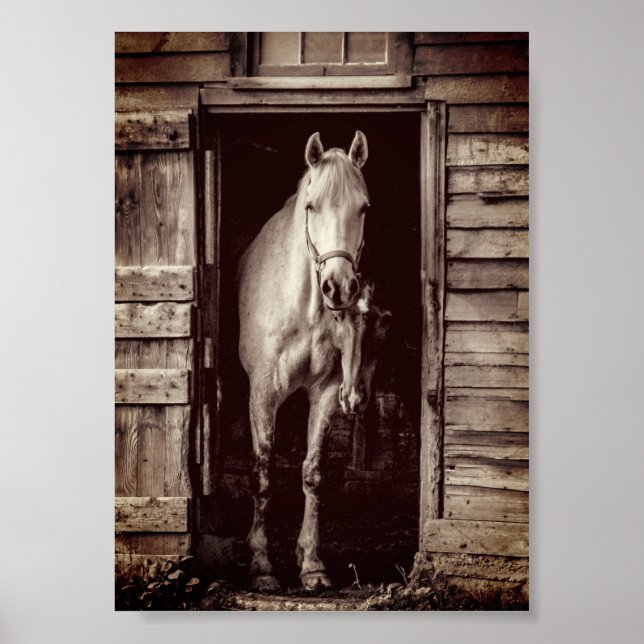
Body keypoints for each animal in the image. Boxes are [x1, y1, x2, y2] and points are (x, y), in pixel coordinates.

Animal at [237, 131, 389, 591]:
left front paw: (312, 564)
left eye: (363, 207)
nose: (339, 287)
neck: (301, 309)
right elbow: (262, 473)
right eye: (311, 206)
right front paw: (262, 565)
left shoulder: (324, 393)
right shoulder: (262, 394)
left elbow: (312, 473)